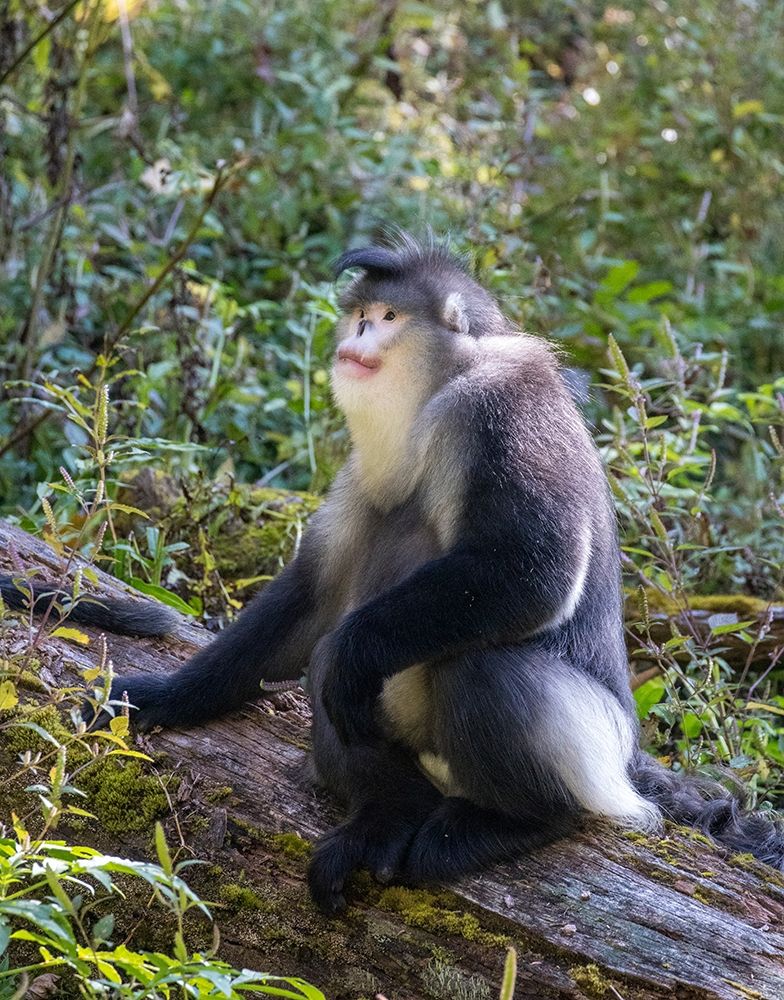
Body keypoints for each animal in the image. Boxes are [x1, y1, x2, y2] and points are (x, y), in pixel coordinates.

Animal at [7, 234, 783, 913]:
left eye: (387, 319)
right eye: (359, 315)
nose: (356, 339)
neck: (436, 390)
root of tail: (629, 761)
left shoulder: (501, 405)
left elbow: (531, 570)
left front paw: (354, 651)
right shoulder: (361, 470)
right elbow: (314, 598)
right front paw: (163, 697)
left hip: (590, 749)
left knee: (467, 663)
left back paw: (519, 820)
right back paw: (389, 813)